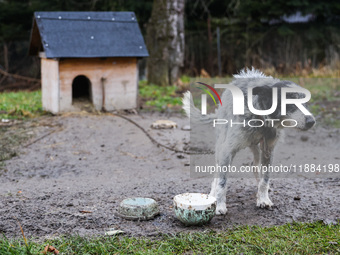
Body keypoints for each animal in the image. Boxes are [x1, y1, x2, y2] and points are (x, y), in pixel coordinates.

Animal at [183, 68, 316, 215]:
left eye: (305, 103)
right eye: (290, 102)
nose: (311, 121)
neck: (260, 117)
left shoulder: (268, 150)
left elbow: (265, 179)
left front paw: (263, 198)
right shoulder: (227, 151)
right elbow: (222, 182)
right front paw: (220, 205)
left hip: (256, 147)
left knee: (254, 165)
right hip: (221, 144)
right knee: (217, 172)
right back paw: (213, 193)